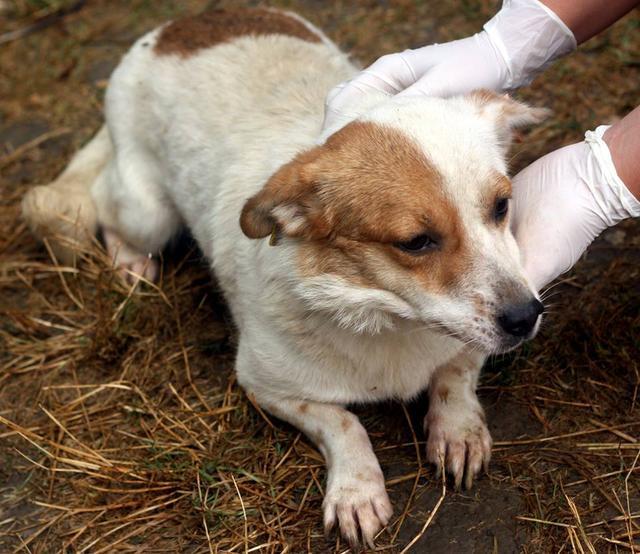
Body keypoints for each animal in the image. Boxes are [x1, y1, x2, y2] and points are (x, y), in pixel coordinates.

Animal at [21, 6, 544, 544]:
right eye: (416, 242)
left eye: (501, 206)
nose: (527, 316)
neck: (385, 319)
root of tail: (177, 25)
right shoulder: (265, 385)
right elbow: (343, 422)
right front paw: (357, 488)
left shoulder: (470, 341)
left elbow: (455, 375)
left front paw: (458, 429)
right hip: (147, 212)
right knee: (107, 206)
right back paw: (132, 262)